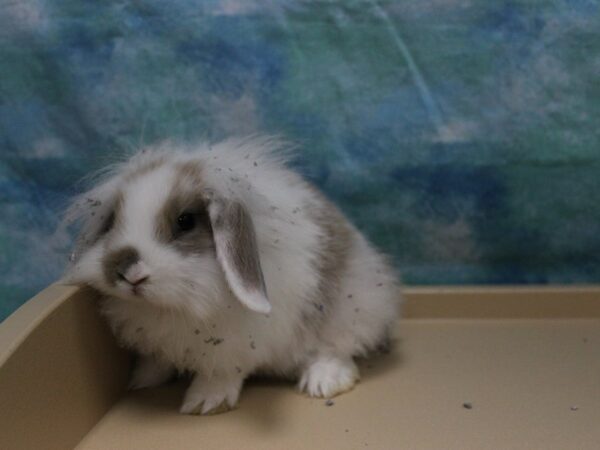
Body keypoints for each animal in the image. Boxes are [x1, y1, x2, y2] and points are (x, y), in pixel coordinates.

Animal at [61, 136, 400, 414]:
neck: (172, 307)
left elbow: (222, 371)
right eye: (113, 220)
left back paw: (323, 382)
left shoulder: (237, 345)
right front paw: (141, 380)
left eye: (185, 221)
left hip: (351, 309)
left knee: (339, 347)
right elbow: (156, 359)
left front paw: (204, 403)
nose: (128, 272)